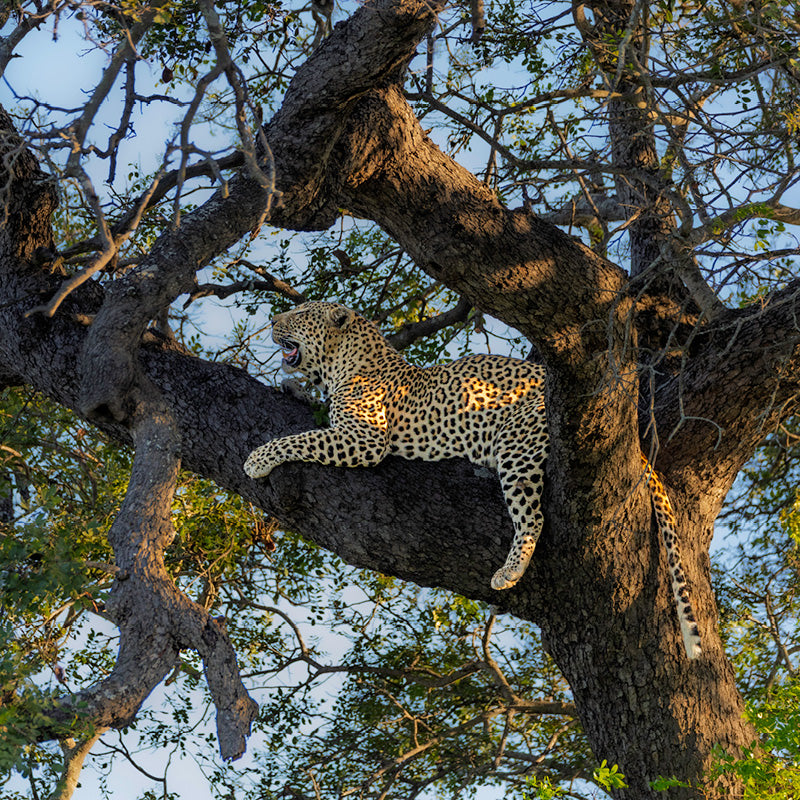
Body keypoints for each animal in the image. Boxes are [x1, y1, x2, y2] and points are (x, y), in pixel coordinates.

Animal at [244, 301, 702, 659]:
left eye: (300, 314)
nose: (273, 319)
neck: (344, 363)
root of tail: (636, 440)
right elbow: (312, 415)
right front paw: (291, 386)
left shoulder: (365, 438)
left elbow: (303, 438)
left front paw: (257, 459)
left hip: (517, 442)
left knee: (532, 517)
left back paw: (508, 572)